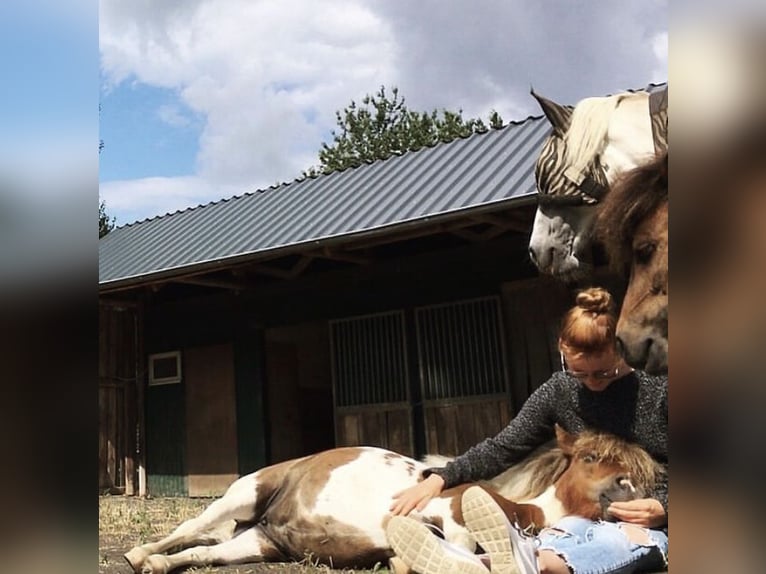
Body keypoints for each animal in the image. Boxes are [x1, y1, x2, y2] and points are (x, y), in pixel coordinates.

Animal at [124, 426, 660, 572]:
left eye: (633, 472)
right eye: (588, 456)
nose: (625, 489)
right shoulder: (445, 516)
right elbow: (462, 548)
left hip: (257, 541)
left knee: (203, 553)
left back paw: (156, 565)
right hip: (241, 497)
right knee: (187, 531)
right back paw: (138, 554)